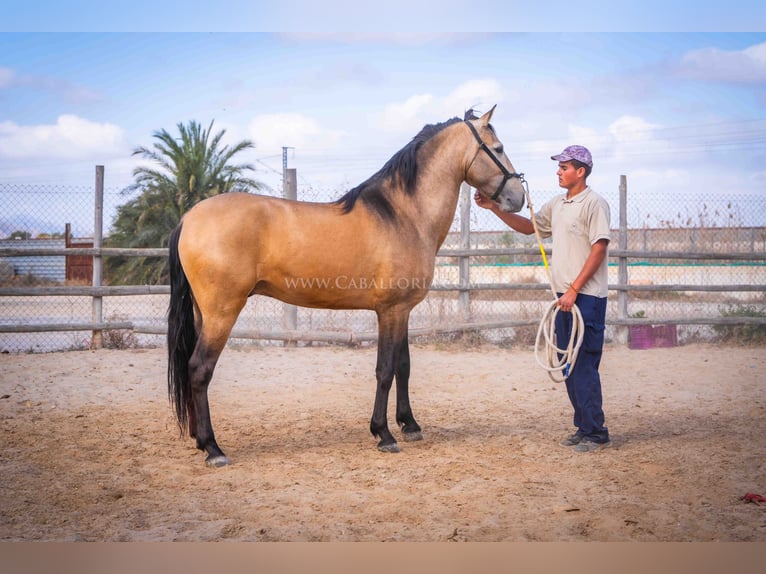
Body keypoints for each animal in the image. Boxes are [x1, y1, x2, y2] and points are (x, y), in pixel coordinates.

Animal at [168, 107, 528, 468]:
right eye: (497, 149)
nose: (518, 197)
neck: (403, 215)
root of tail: (188, 218)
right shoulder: (390, 311)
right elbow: (385, 370)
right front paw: (383, 434)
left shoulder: (403, 310)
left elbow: (404, 366)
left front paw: (409, 425)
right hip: (222, 313)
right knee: (199, 370)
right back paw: (213, 449)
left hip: (204, 314)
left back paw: (201, 442)